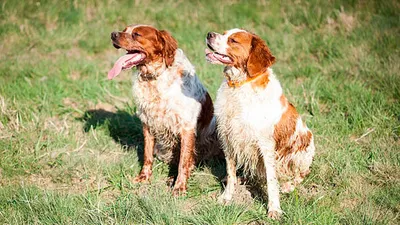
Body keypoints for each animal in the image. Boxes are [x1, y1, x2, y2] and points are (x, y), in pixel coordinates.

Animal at [108, 23, 223, 194]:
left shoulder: (186, 128)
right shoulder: (148, 123)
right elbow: (147, 155)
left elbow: (184, 162)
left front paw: (180, 187)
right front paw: (144, 177)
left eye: (136, 34)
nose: (113, 34)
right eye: (124, 30)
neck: (155, 76)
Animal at [206, 29, 316, 219]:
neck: (240, 86)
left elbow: (272, 182)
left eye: (233, 40)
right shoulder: (228, 138)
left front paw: (274, 209)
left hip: (303, 151)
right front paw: (227, 197)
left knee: (301, 174)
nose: (209, 34)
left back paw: (288, 185)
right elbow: (230, 172)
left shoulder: (266, 145)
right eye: (224, 33)